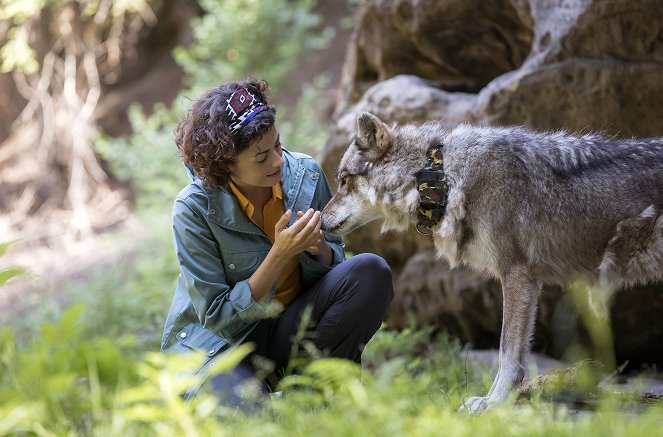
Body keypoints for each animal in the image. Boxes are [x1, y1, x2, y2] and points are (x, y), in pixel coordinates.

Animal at [322, 110, 663, 410]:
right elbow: (518, 354)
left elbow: (506, 352)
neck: (443, 177)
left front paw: (493, 402)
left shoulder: (517, 275)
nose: (320, 219)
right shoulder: (529, 282)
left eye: (343, 180)